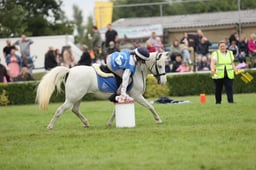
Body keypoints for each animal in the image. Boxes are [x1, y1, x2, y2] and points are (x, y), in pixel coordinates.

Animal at [35, 51, 168, 129]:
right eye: (160, 66)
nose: (163, 81)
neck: (138, 68)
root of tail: (70, 70)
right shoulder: (137, 96)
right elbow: (150, 106)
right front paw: (158, 120)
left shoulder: (124, 97)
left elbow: (115, 112)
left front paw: (109, 123)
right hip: (73, 98)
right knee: (60, 110)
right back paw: (50, 126)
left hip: (78, 97)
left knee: (75, 110)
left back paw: (86, 123)